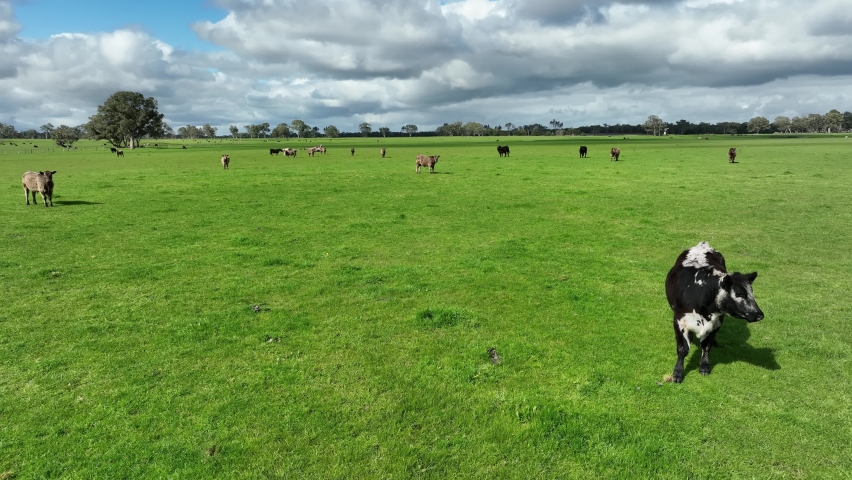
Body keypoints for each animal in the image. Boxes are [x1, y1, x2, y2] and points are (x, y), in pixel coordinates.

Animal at [665, 242, 764, 383]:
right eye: (739, 293)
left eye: (752, 292)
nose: (759, 314)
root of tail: (703, 244)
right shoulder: (680, 321)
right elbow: (683, 349)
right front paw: (678, 373)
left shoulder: (717, 323)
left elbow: (706, 346)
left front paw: (704, 366)